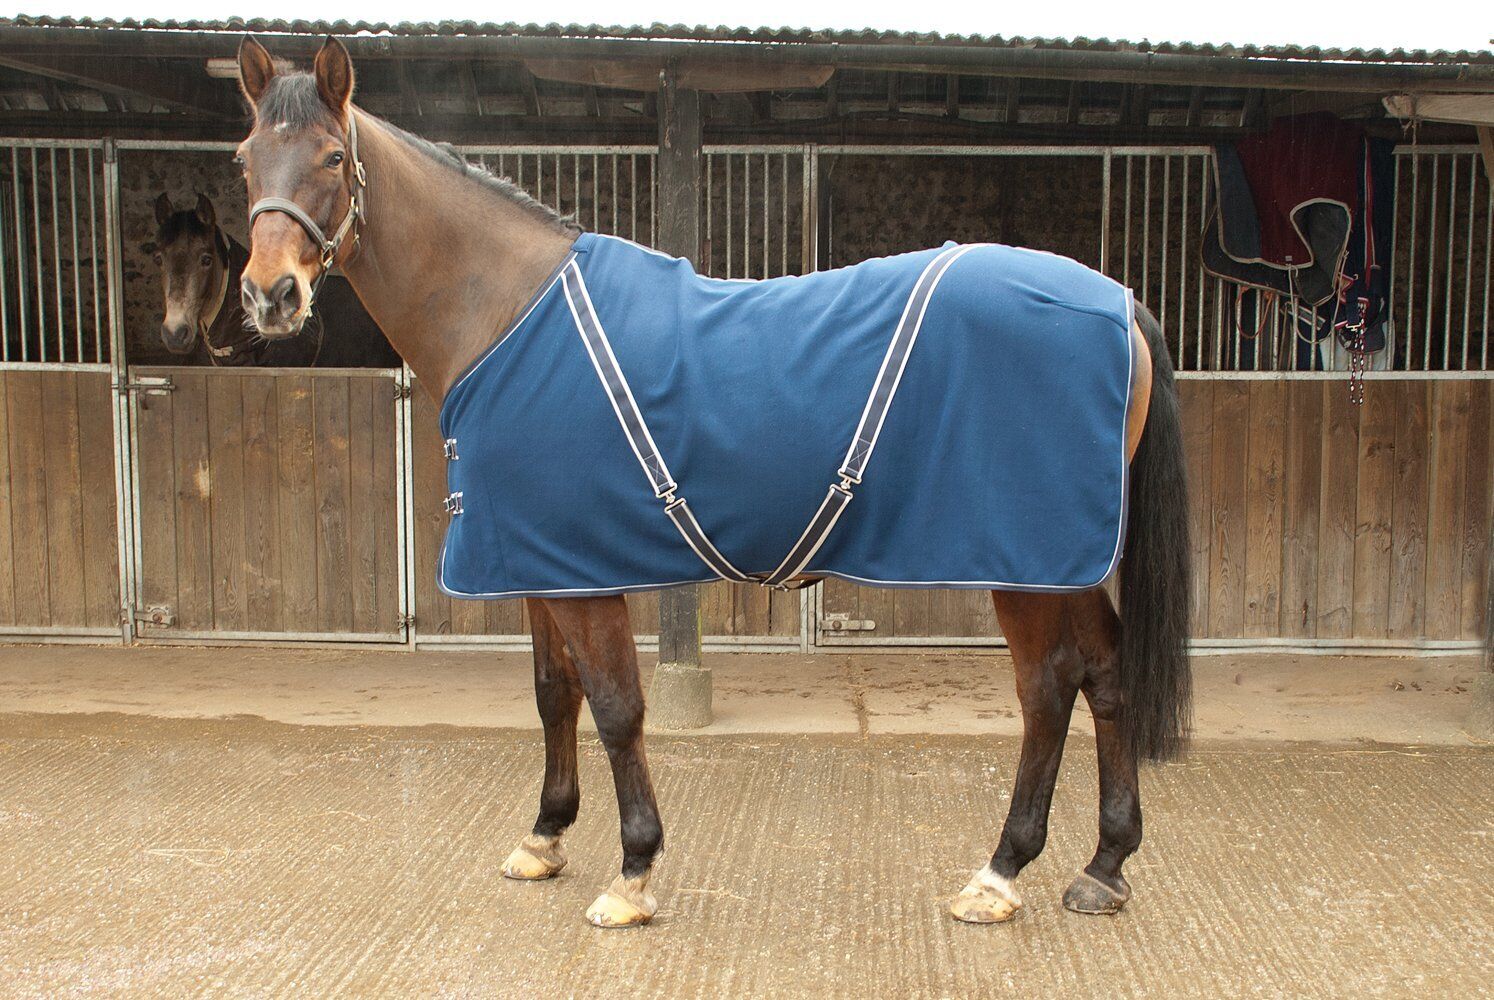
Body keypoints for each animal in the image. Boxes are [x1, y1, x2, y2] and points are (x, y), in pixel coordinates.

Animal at [231, 36, 1193, 929]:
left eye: (330, 157)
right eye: (244, 158)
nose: (271, 296)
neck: (505, 315)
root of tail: (1119, 302)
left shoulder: (583, 581)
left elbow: (617, 708)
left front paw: (633, 873)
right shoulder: (538, 563)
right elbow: (552, 696)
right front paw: (544, 837)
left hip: (1023, 565)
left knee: (1047, 691)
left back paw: (1000, 873)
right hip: (1062, 564)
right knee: (1106, 675)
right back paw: (1103, 866)